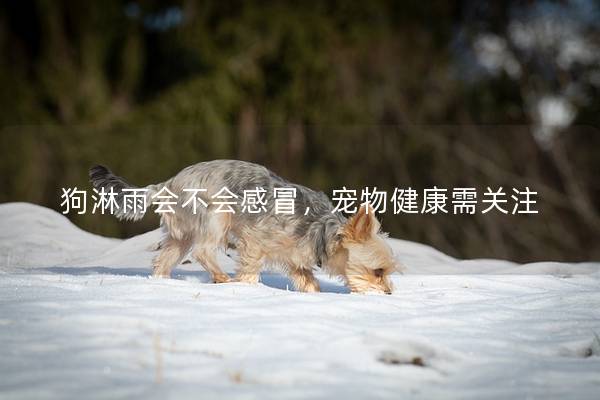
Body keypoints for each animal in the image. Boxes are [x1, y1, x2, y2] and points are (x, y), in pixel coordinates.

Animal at [90, 159, 398, 294]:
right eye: (378, 271)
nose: (388, 293)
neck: (322, 230)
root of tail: (167, 183)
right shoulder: (256, 240)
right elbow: (250, 267)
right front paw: (248, 287)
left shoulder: (296, 258)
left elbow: (308, 281)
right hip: (217, 213)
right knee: (202, 250)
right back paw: (222, 280)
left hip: (182, 232)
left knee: (165, 258)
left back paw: (162, 282)